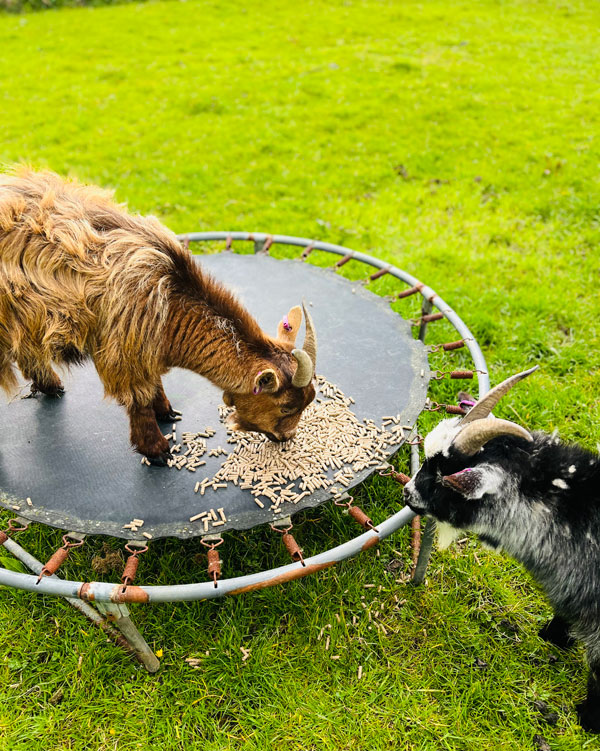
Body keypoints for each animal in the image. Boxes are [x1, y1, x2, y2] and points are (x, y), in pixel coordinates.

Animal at [0, 169, 316, 464]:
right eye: (286, 406)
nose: (287, 437)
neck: (170, 294)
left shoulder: (147, 345)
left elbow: (154, 384)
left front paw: (166, 411)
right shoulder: (125, 350)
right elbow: (138, 399)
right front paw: (156, 450)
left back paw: (49, 385)